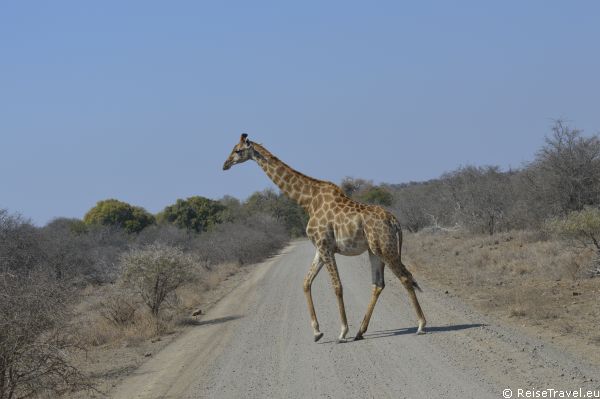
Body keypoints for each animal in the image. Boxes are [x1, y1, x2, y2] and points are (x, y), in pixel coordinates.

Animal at [221, 136, 426, 342]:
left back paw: (421, 325)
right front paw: (317, 332)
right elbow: (306, 282)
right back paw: (360, 331)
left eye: (238, 150)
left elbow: (337, 286)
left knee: (405, 278)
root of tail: (395, 221)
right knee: (379, 284)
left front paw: (342, 331)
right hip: (374, 251)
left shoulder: (325, 246)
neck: (307, 201)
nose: (225, 164)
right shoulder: (320, 248)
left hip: (385, 248)